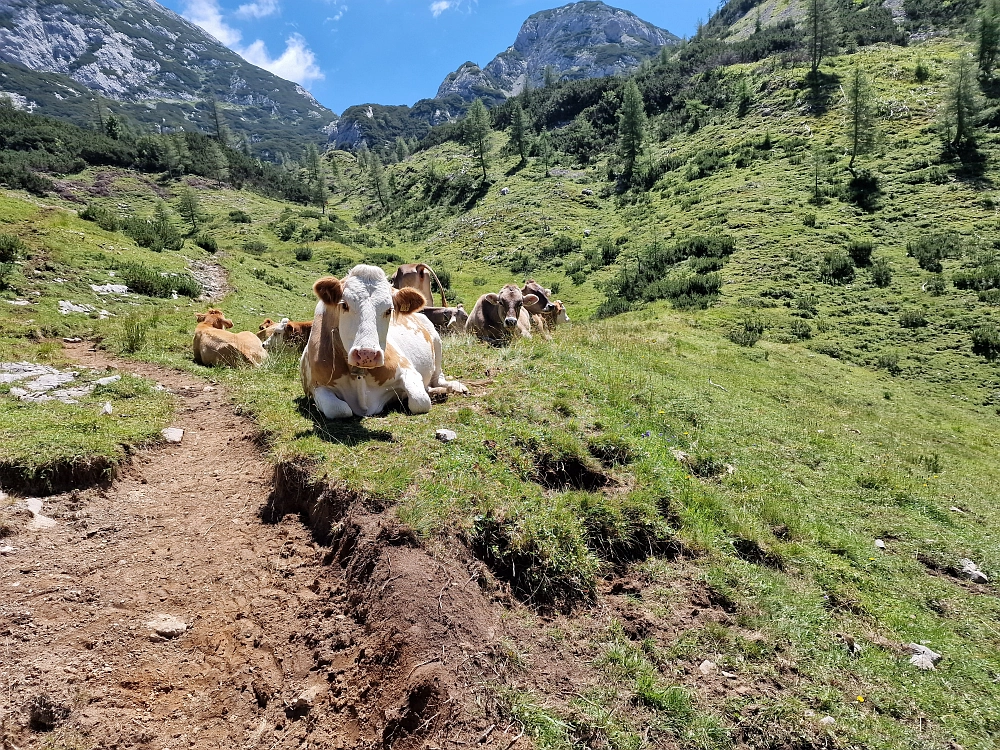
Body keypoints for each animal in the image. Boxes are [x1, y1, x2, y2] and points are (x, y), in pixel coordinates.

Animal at [300, 264, 468, 420]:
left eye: (389, 310)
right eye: (344, 305)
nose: (367, 354)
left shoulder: (409, 370)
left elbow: (419, 401)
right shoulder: (317, 387)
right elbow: (339, 409)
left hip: (436, 342)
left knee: (438, 378)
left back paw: (452, 387)